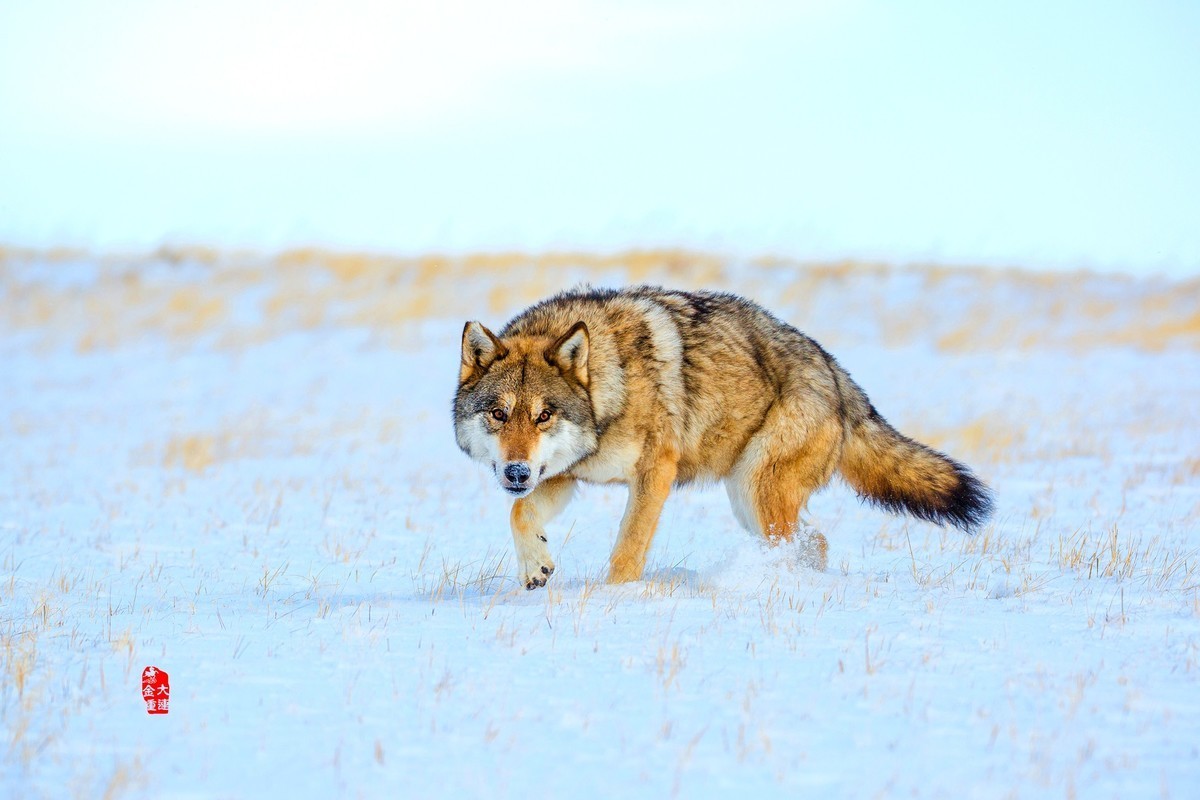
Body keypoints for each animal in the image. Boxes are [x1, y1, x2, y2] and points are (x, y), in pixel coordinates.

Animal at [451, 286, 993, 587]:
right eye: (499, 414)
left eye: (544, 415)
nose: (515, 471)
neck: (611, 385)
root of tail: (837, 374)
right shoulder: (564, 475)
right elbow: (521, 513)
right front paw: (535, 567)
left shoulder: (655, 473)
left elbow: (627, 550)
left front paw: (616, 599)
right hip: (747, 500)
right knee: (815, 542)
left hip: (758, 492)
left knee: (803, 544)